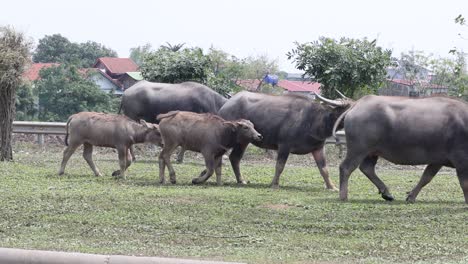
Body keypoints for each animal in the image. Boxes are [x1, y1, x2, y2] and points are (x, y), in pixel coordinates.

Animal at [218, 91, 350, 190]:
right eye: (349, 108)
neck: (313, 120)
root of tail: (225, 104)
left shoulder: (318, 148)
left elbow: (324, 169)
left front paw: (332, 187)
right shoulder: (284, 146)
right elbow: (280, 166)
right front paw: (274, 184)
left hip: (244, 141)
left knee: (235, 158)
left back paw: (241, 180)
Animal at [338, 95, 468, 204]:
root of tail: (358, 103)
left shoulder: (437, 161)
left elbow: (426, 177)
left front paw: (411, 197)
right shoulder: (461, 160)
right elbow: (464, 183)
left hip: (371, 152)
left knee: (367, 168)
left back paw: (387, 194)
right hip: (358, 150)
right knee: (346, 168)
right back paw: (343, 196)